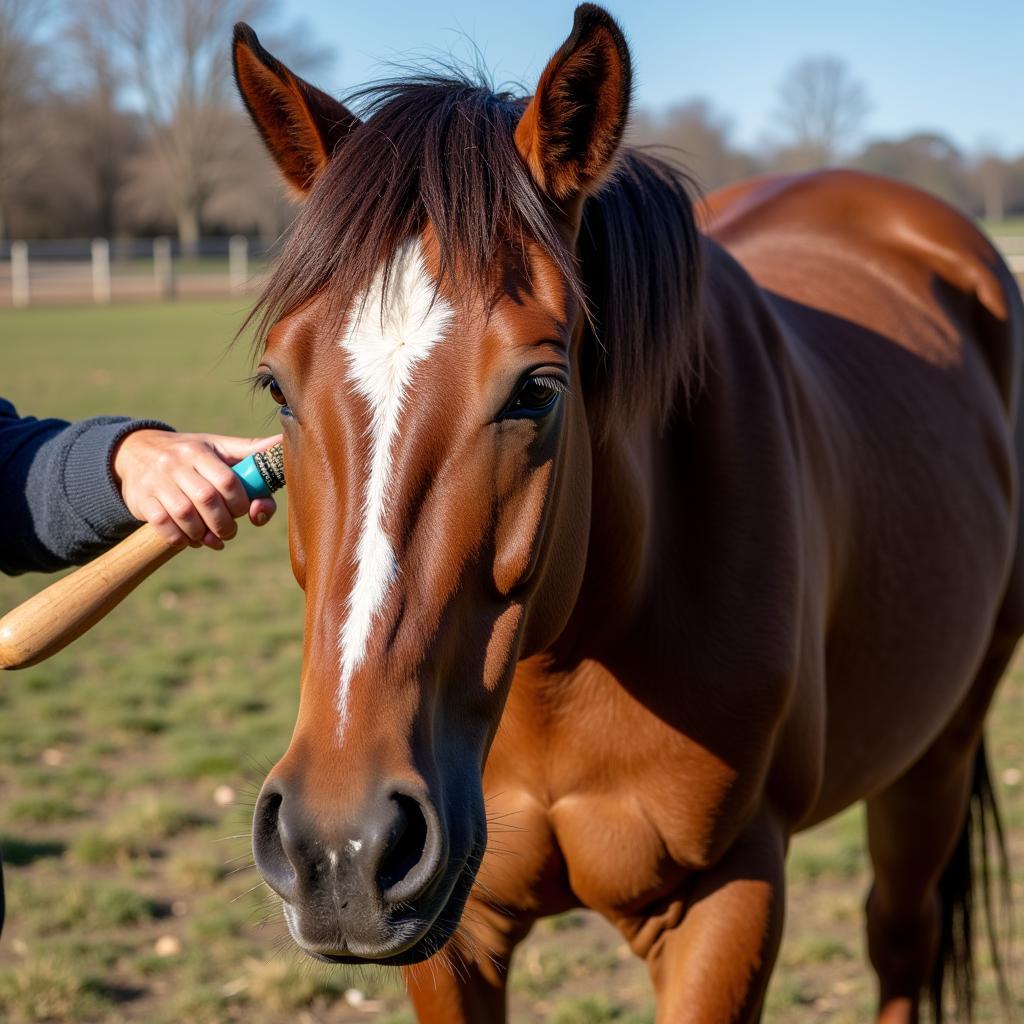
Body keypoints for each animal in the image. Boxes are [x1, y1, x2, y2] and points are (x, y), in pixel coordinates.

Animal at [232, 8, 1024, 1024]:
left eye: (536, 389)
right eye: (276, 386)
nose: (339, 841)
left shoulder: (725, 900)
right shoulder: (457, 936)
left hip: (938, 751)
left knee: (901, 937)